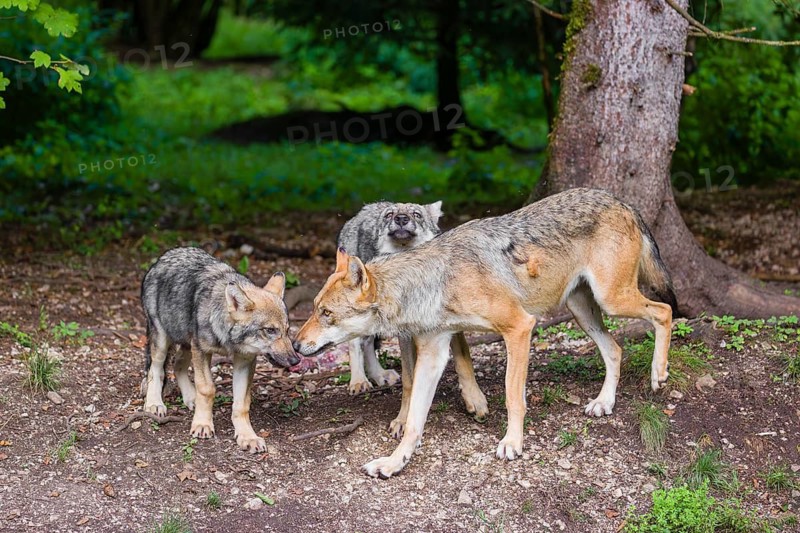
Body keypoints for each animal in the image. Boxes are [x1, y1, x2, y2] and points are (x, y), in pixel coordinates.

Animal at [141, 247, 300, 452]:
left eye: (287, 330)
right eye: (270, 330)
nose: (295, 360)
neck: (228, 340)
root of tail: (163, 257)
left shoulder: (245, 360)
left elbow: (241, 404)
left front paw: (247, 436)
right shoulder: (201, 351)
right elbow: (206, 388)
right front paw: (202, 424)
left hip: (187, 343)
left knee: (177, 365)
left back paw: (190, 398)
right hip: (163, 341)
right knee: (156, 370)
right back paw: (154, 403)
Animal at [337, 201, 489, 434]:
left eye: (416, 214)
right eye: (390, 215)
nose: (401, 218)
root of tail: (363, 211)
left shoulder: (451, 322)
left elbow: (464, 359)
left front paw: (475, 399)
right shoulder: (405, 335)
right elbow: (410, 380)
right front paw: (403, 420)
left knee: (369, 343)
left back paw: (379, 375)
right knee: (356, 344)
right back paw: (359, 380)